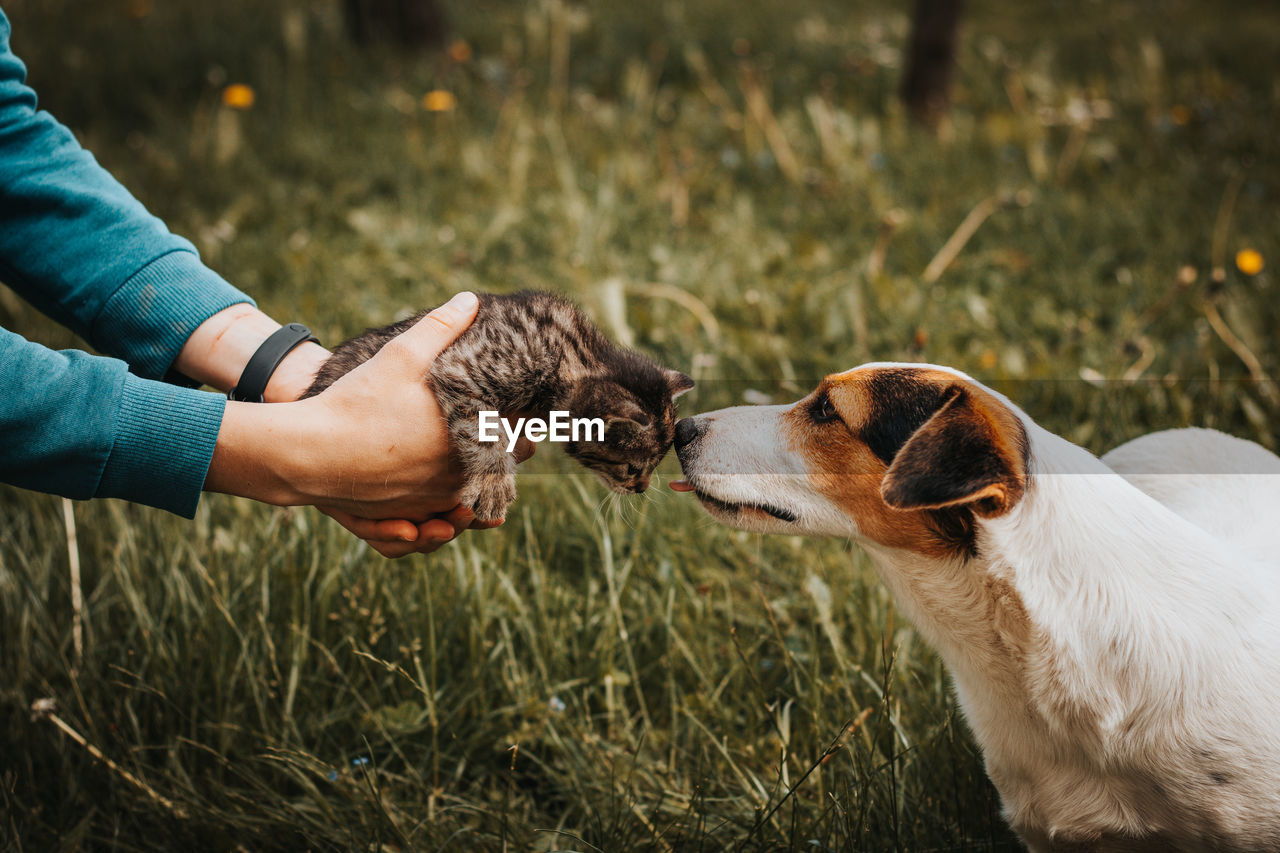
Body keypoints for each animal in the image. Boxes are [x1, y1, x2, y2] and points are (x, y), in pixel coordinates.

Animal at [300, 290, 696, 517]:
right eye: (632, 468)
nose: (641, 488)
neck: (573, 353)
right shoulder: (461, 367)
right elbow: (482, 428)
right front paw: (493, 483)